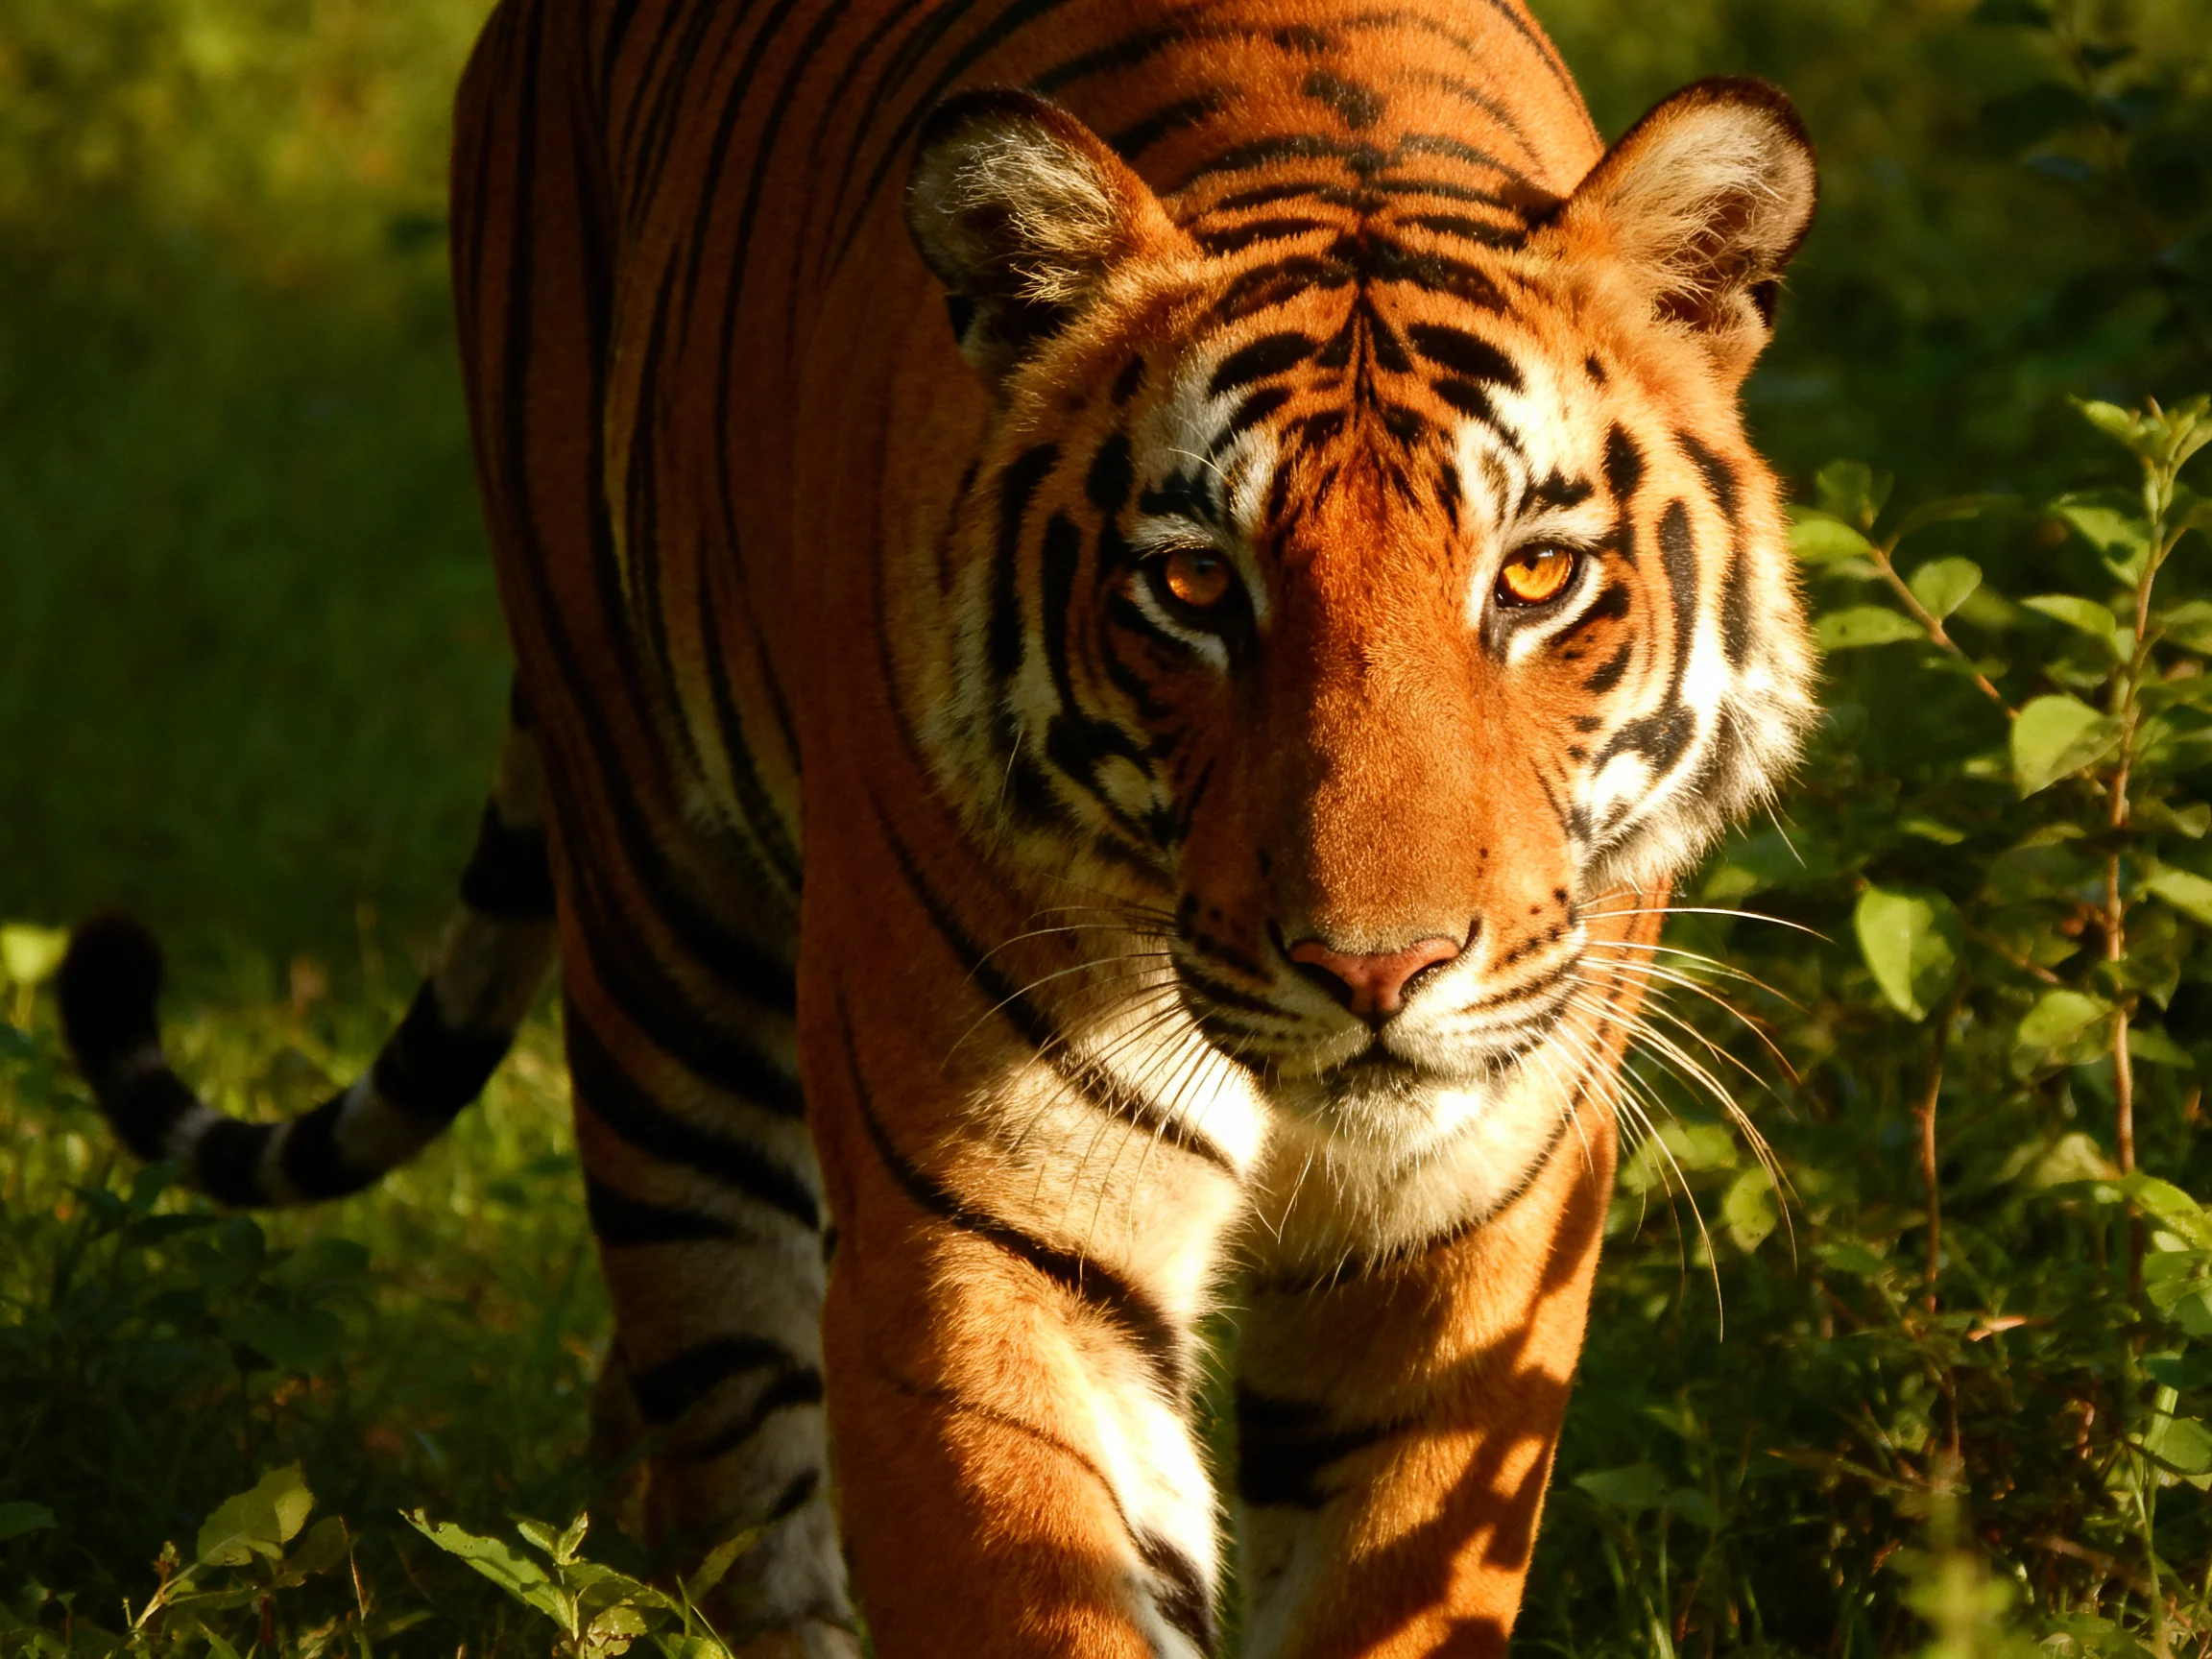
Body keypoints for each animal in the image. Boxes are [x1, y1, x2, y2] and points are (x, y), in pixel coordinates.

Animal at [57, 0, 1819, 1652]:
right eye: (1195, 587)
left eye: (1534, 577)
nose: (1372, 972)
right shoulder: (986, 1239)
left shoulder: (1469, 1244)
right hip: (656, 924)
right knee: (727, 1437)